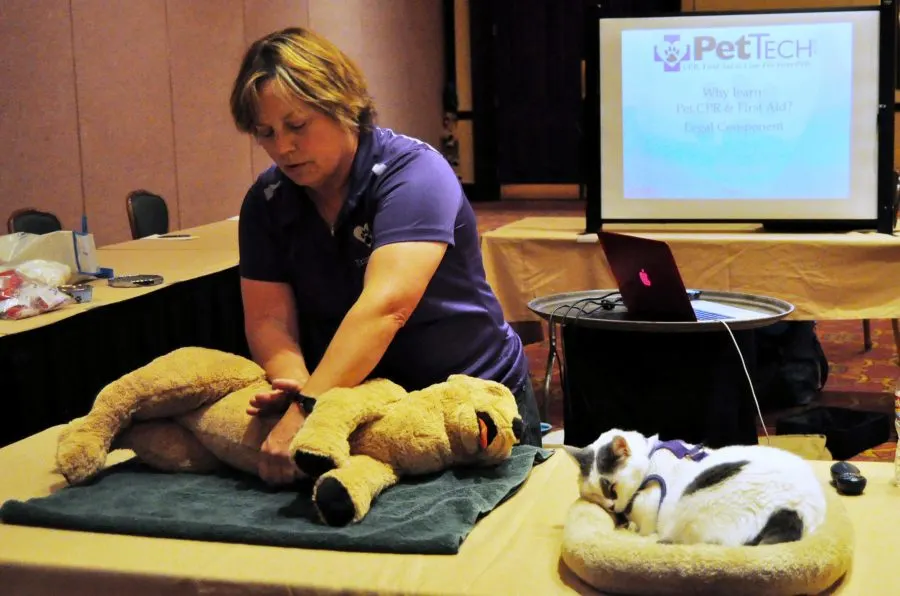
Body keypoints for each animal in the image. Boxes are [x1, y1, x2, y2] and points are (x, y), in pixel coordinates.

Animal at [568, 428, 828, 544]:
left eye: (611, 488)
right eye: (595, 496)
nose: (611, 507)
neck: (652, 458)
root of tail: (795, 509)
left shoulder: (650, 516)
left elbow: (643, 530)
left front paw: (630, 527)